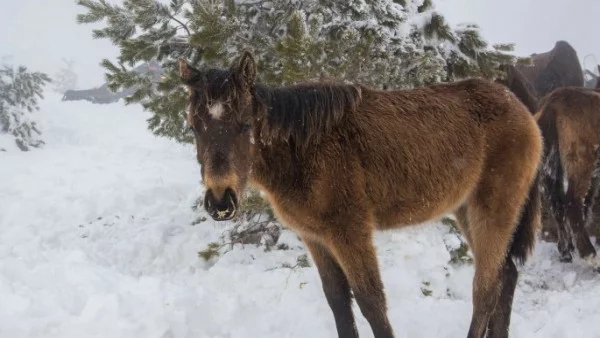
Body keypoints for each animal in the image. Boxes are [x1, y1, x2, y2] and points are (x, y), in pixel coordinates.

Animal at [180, 52, 540, 338]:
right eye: (194, 127)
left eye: (244, 124)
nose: (220, 201)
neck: (305, 149)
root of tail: (524, 112)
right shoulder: (316, 238)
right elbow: (339, 302)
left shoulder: (350, 233)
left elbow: (372, 304)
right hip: (467, 211)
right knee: (505, 275)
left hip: (492, 211)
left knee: (486, 289)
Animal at [536, 86, 600, 264]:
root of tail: (553, 104)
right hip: (581, 165)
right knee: (572, 202)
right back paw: (590, 255)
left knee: (558, 204)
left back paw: (565, 251)